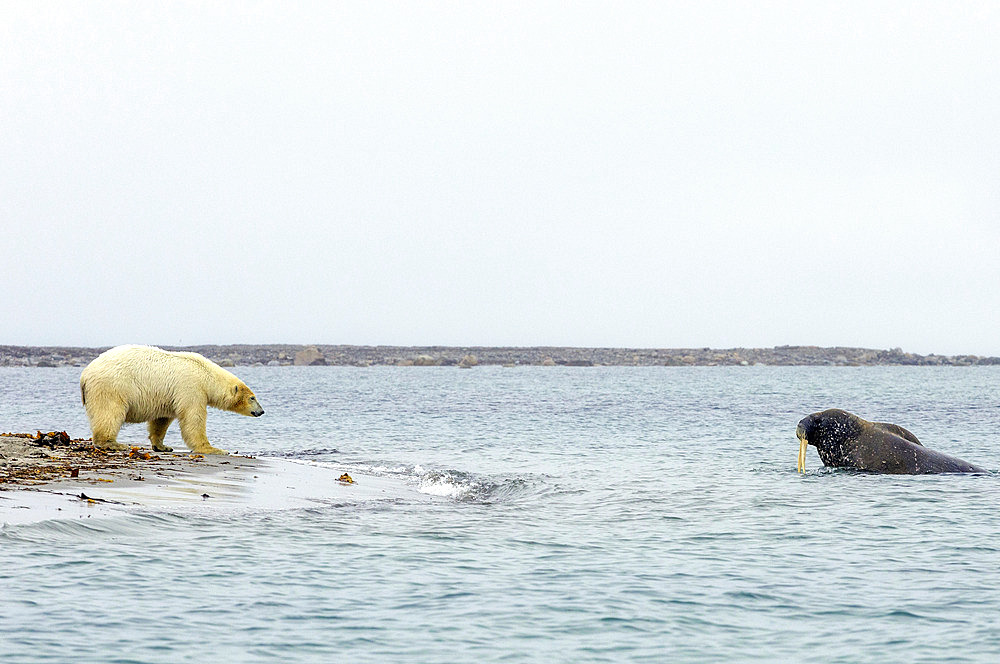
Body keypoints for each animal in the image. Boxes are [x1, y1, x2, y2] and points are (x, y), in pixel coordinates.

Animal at [80, 344, 264, 454]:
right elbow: (193, 418)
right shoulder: (191, 387)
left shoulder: (168, 396)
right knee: (110, 413)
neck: (206, 375)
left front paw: (162, 446)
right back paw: (113, 443)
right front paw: (213, 448)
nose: (261, 411)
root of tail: (85, 374)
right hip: (112, 387)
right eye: (252, 398)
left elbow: (161, 420)